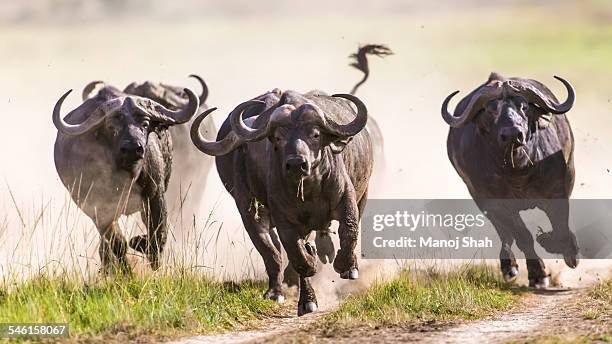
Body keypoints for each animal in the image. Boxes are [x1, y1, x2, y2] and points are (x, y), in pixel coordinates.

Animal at [53, 82, 198, 272]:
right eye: (111, 126)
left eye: (145, 123)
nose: (132, 148)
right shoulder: (96, 205)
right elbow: (118, 243)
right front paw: (126, 271)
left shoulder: (155, 195)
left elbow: (159, 233)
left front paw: (145, 250)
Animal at [440, 72, 580, 288]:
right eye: (491, 110)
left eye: (523, 106)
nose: (513, 134)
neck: (518, 172)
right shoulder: (497, 202)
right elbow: (522, 235)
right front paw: (538, 273)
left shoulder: (557, 192)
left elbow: (561, 228)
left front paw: (567, 250)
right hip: (482, 202)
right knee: (505, 233)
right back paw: (509, 267)